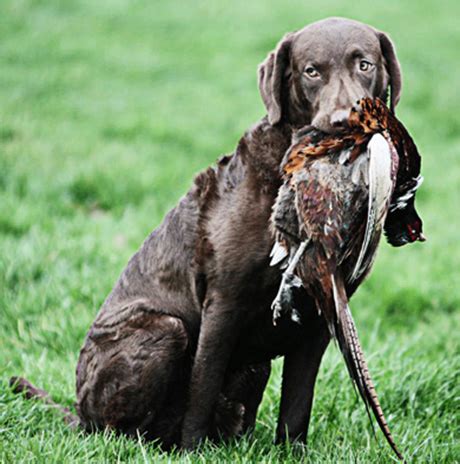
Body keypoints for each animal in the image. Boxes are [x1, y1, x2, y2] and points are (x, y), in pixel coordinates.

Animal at [10, 18, 402, 450]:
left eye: (364, 64)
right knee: (118, 430)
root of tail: (78, 415)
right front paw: (192, 452)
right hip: (164, 329)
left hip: (255, 367)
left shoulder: (322, 317)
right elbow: (203, 388)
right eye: (311, 71)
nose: (342, 122)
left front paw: (292, 453)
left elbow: (298, 405)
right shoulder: (223, 303)